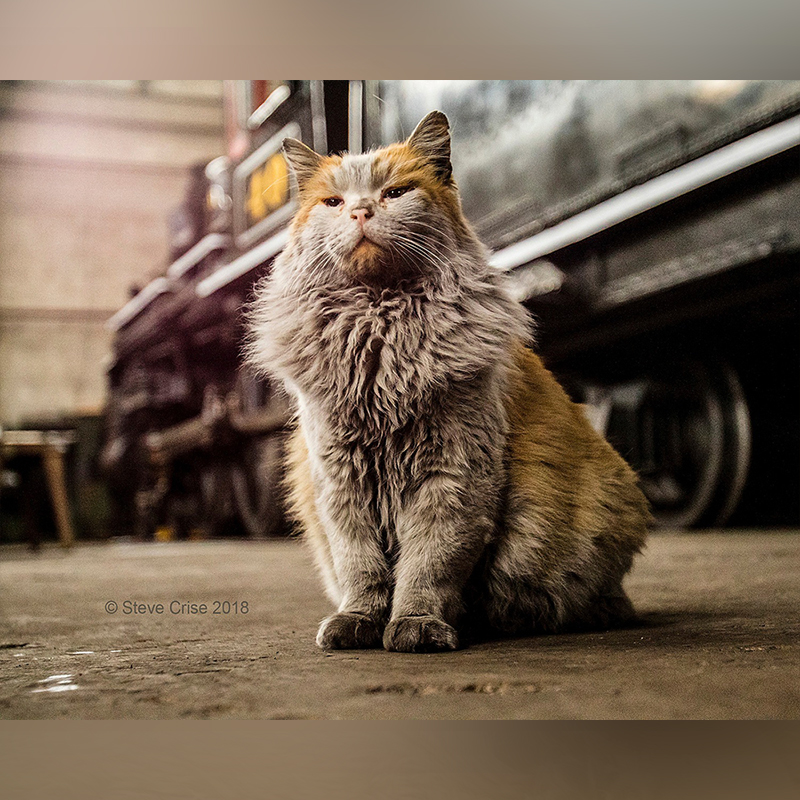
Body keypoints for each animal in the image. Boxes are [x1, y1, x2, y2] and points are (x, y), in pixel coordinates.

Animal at [247, 111, 648, 648]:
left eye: (395, 193)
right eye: (333, 203)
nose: (360, 212)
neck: (380, 331)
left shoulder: (453, 475)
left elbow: (428, 565)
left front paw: (416, 625)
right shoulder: (339, 480)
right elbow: (361, 567)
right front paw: (358, 621)